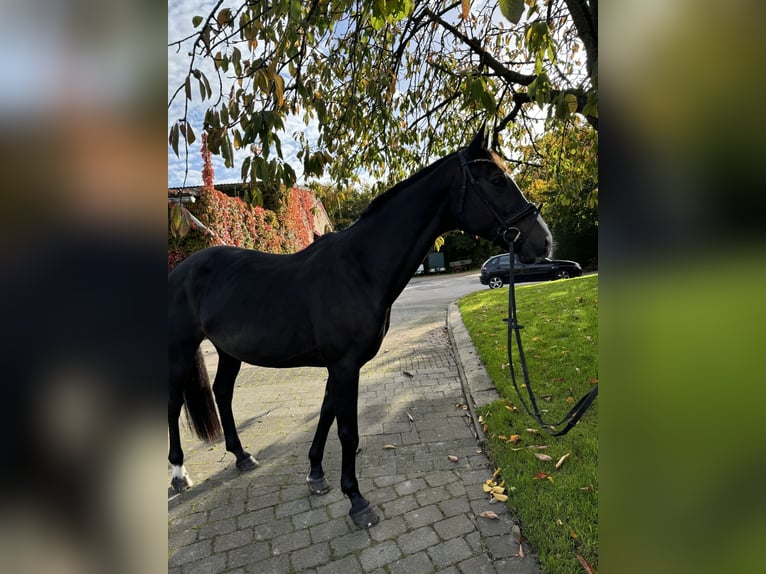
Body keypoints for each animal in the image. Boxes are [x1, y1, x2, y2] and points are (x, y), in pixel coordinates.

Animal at [168, 128, 552, 528]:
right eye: (496, 181)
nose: (543, 241)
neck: (359, 268)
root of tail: (181, 270)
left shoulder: (337, 367)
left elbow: (326, 415)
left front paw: (316, 475)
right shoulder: (345, 365)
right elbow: (347, 431)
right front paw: (356, 500)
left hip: (228, 351)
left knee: (222, 393)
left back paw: (242, 456)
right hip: (180, 349)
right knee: (172, 402)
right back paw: (179, 474)